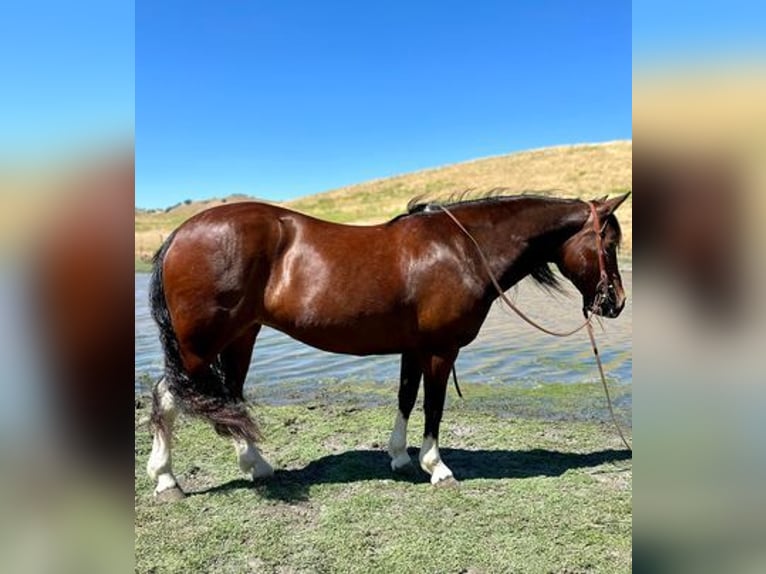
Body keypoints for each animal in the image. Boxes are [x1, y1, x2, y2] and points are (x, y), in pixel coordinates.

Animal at [147, 194, 632, 500]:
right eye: (609, 242)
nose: (616, 303)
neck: (461, 249)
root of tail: (179, 234)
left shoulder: (413, 349)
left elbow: (405, 397)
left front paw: (400, 457)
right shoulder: (440, 350)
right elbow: (433, 406)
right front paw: (437, 467)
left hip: (239, 339)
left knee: (225, 400)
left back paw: (255, 467)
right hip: (201, 346)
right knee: (167, 398)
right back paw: (167, 480)